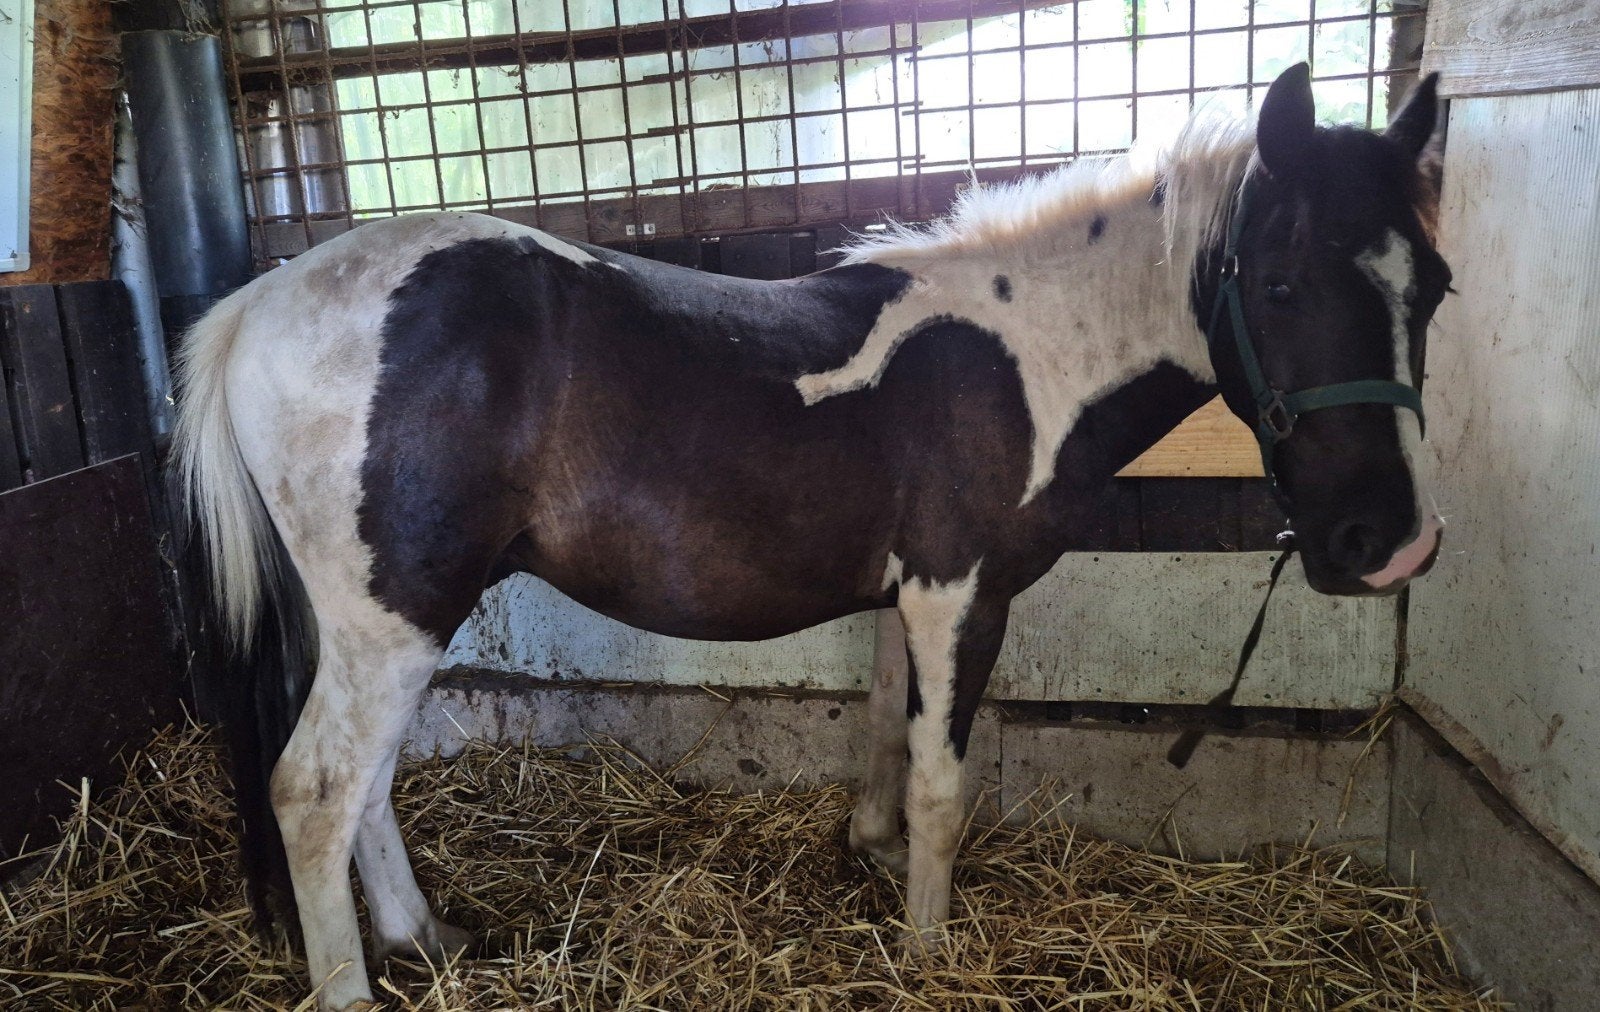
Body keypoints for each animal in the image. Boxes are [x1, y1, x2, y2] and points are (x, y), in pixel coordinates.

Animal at [174, 63, 1450, 1008]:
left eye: (1431, 285)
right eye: (1278, 283)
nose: (1388, 542)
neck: (1028, 354)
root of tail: (261, 301)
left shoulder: (906, 596)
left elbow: (887, 731)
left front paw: (871, 851)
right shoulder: (959, 594)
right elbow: (943, 778)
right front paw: (930, 947)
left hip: (384, 618)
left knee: (368, 783)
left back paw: (424, 936)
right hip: (397, 613)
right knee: (317, 788)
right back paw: (355, 982)